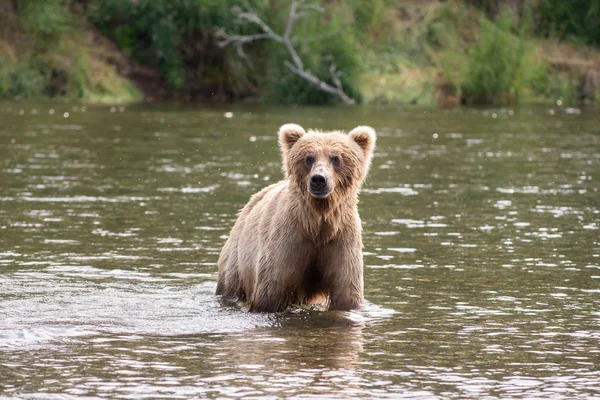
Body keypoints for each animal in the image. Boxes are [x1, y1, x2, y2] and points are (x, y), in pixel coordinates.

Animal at [216, 122, 376, 312]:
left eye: (336, 158)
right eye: (309, 158)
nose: (319, 179)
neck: (317, 223)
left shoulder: (341, 240)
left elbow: (347, 294)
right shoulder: (288, 240)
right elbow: (270, 293)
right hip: (237, 260)